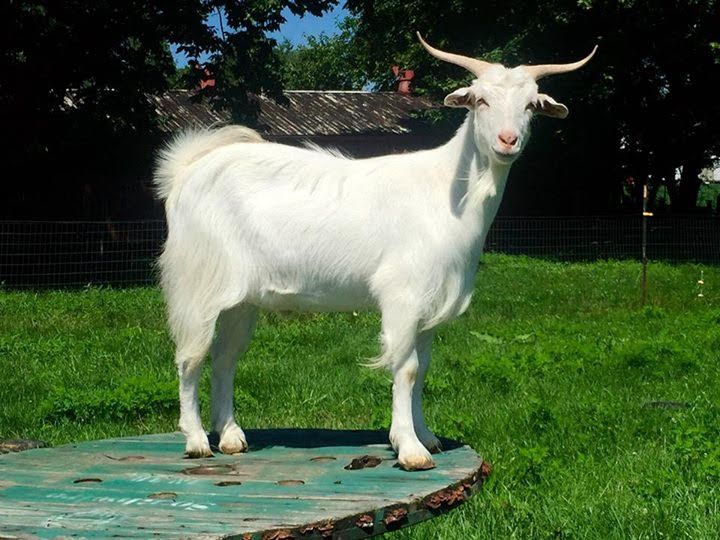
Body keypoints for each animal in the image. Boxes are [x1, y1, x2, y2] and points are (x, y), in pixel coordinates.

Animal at [153, 34, 596, 472]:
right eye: (481, 100)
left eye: (531, 105)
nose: (507, 140)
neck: (448, 191)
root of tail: (184, 173)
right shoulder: (403, 294)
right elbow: (406, 367)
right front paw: (409, 448)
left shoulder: (431, 304)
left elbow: (423, 368)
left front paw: (426, 435)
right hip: (198, 283)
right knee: (190, 356)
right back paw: (196, 440)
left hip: (240, 301)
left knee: (225, 358)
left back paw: (230, 437)